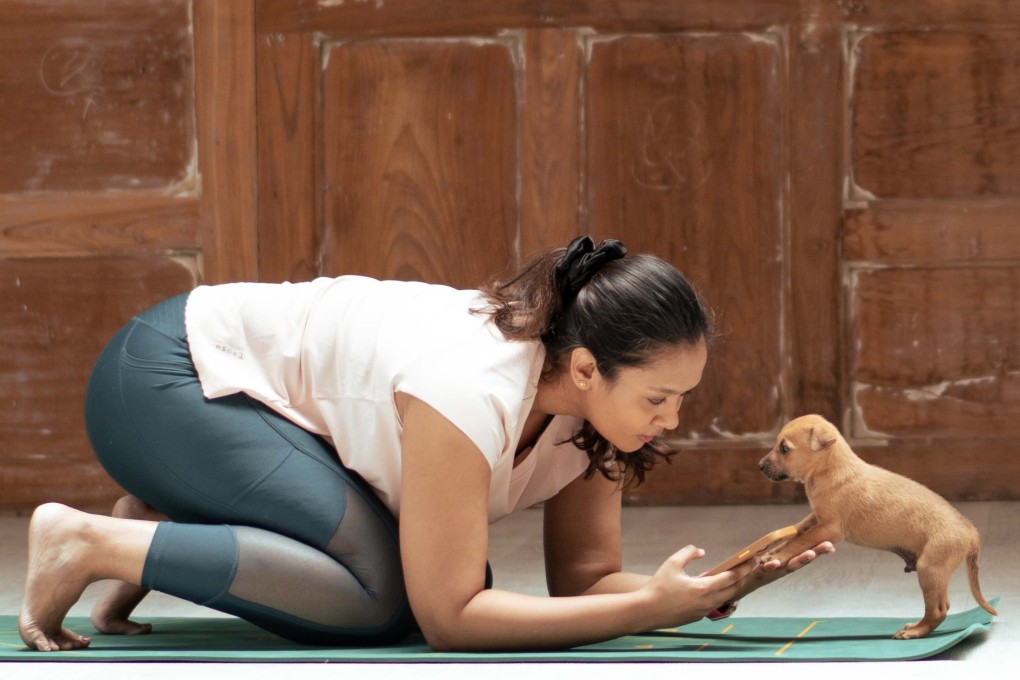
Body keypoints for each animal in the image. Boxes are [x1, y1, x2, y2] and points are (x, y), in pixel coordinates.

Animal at [758, 411, 995, 640]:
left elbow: (799, 542)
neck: (829, 469)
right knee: (942, 606)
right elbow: (795, 536)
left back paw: (914, 631)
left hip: (930, 568)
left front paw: (778, 556)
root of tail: (970, 531)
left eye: (784, 448)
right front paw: (771, 552)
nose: (759, 466)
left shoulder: (828, 528)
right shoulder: (816, 518)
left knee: (938, 610)